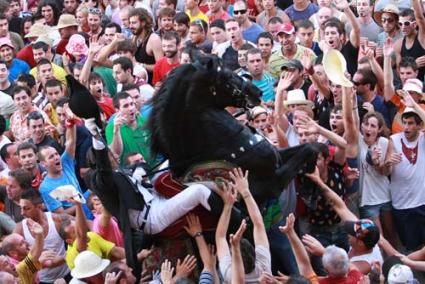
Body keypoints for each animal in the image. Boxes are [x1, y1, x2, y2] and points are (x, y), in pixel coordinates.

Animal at [147, 55, 316, 202]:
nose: (257, 91)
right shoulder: (272, 184)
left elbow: (309, 146)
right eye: (227, 77)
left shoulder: (279, 156)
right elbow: (307, 150)